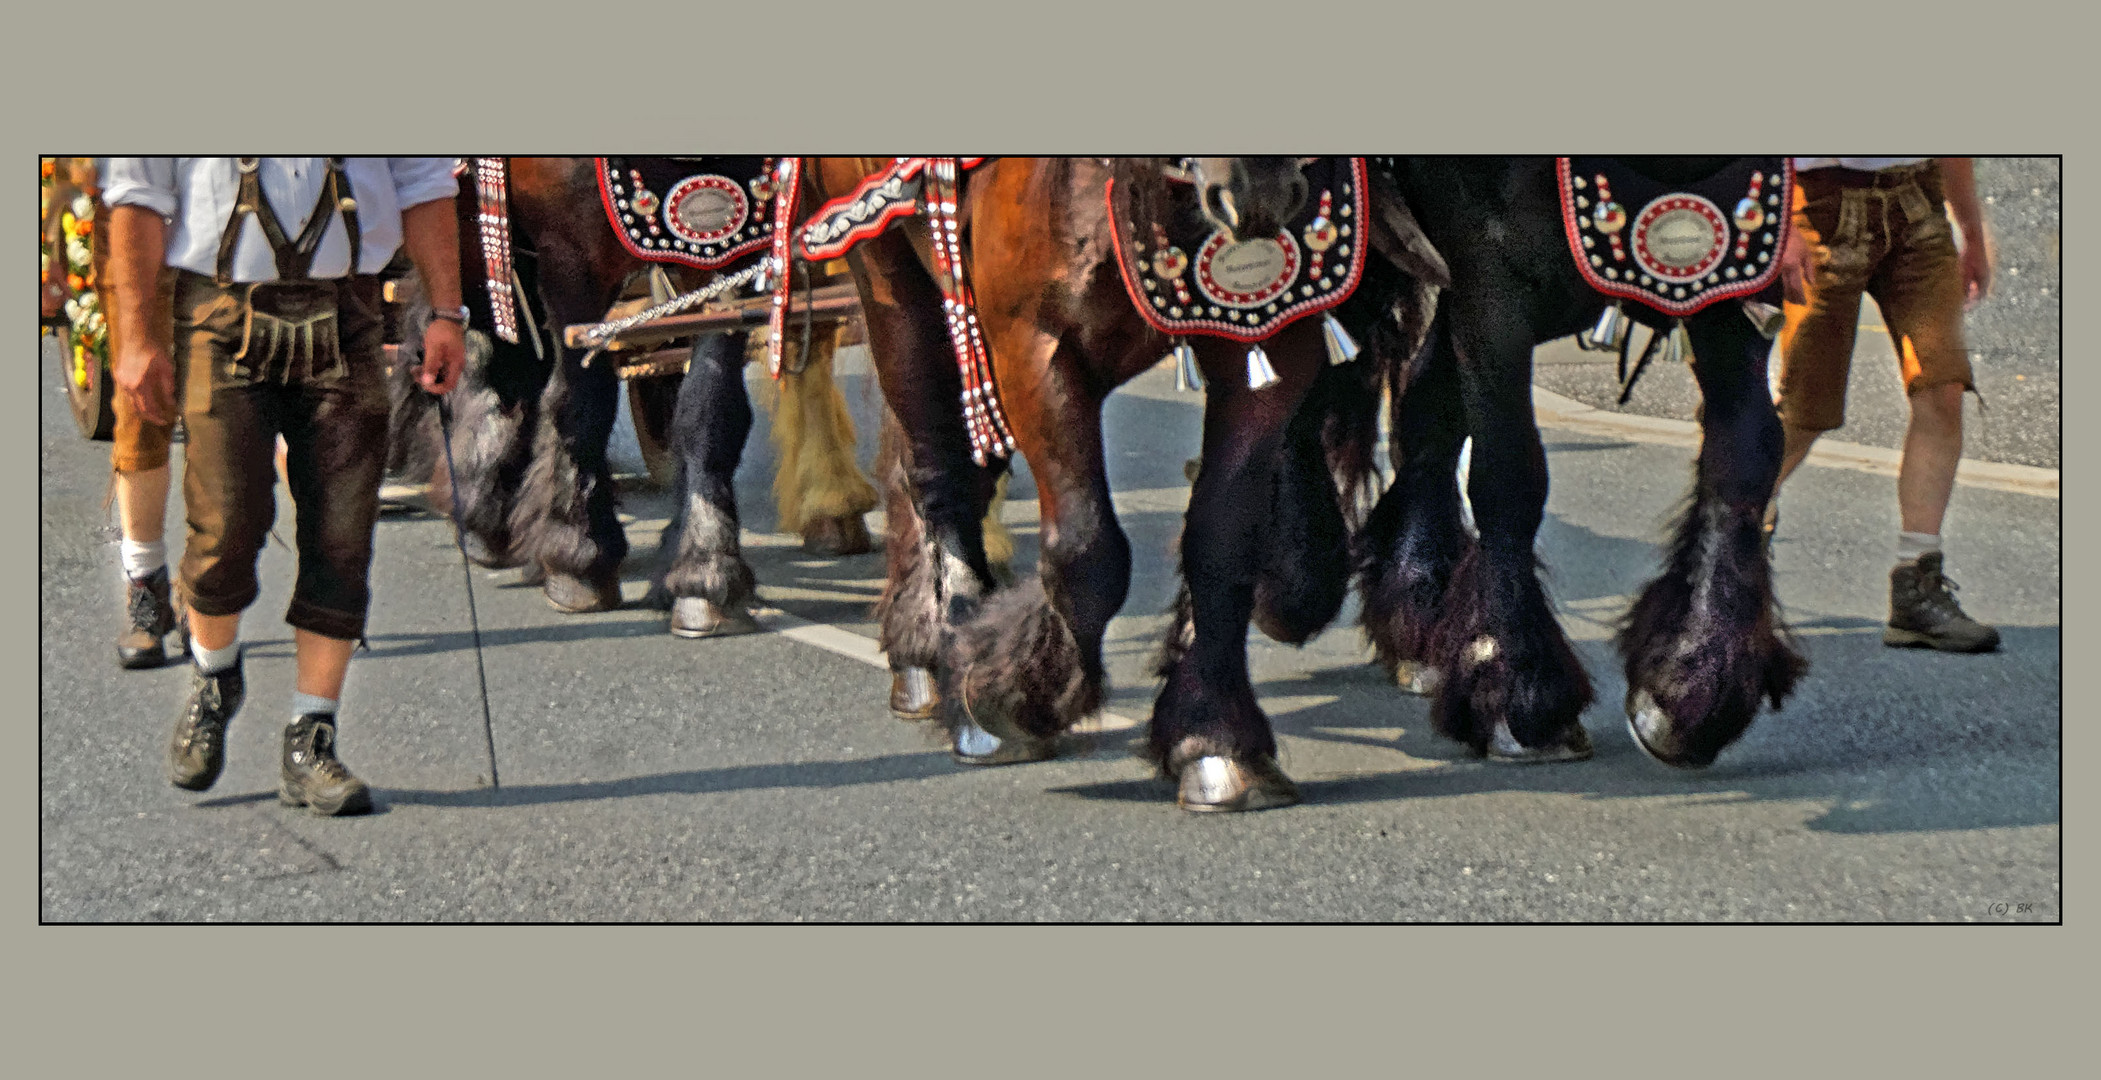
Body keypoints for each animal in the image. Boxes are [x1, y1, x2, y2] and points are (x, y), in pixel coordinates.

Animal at [806, 155, 1445, 802]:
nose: (1258, 192)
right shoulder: (1033, 341)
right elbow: (1086, 554)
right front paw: (1010, 695)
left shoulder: (1269, 335)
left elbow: (1222, 540)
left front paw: (1213, 736)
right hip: (887, 267)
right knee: (936, 458)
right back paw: (937, 642)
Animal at [1361, 155, 1806, 769]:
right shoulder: (1487, 281)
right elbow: (1509, 473)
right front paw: (1516, 680)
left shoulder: (1733, 259)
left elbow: (1746, 453)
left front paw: (1692, 676)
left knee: (1427, 404)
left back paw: (1417, 603)